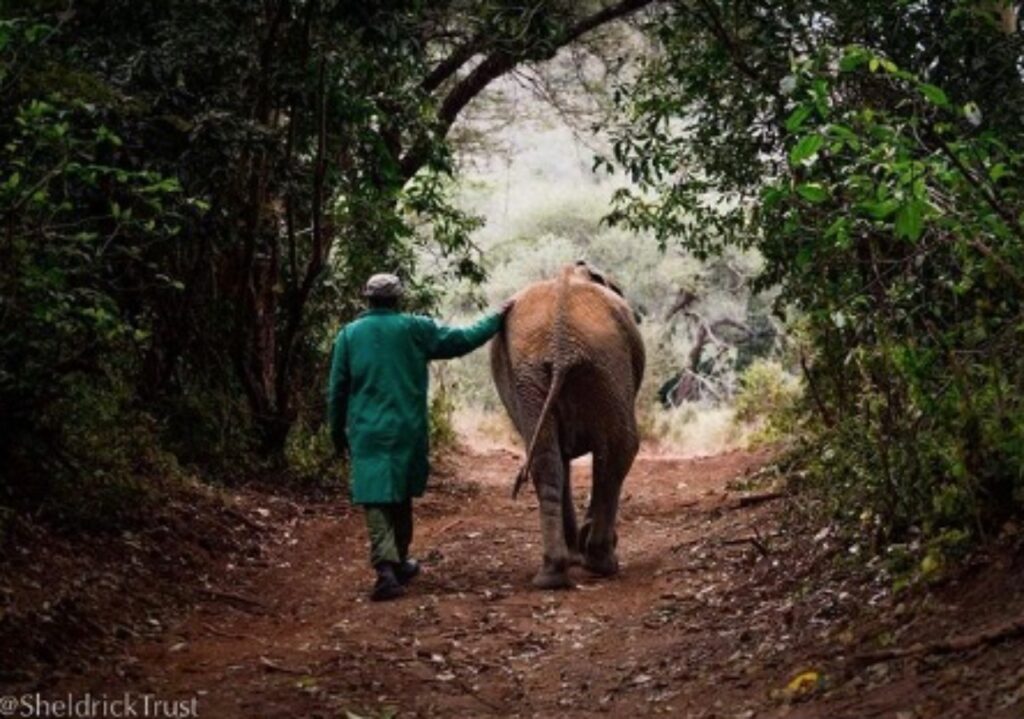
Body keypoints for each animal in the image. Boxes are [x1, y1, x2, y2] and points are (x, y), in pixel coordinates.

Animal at [491, 262, 643, 589]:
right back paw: (600, 562)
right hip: (605, 360)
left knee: (547, 461)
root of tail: (561, 345)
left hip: (533, 375)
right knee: (620, 450)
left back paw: (552, 574)